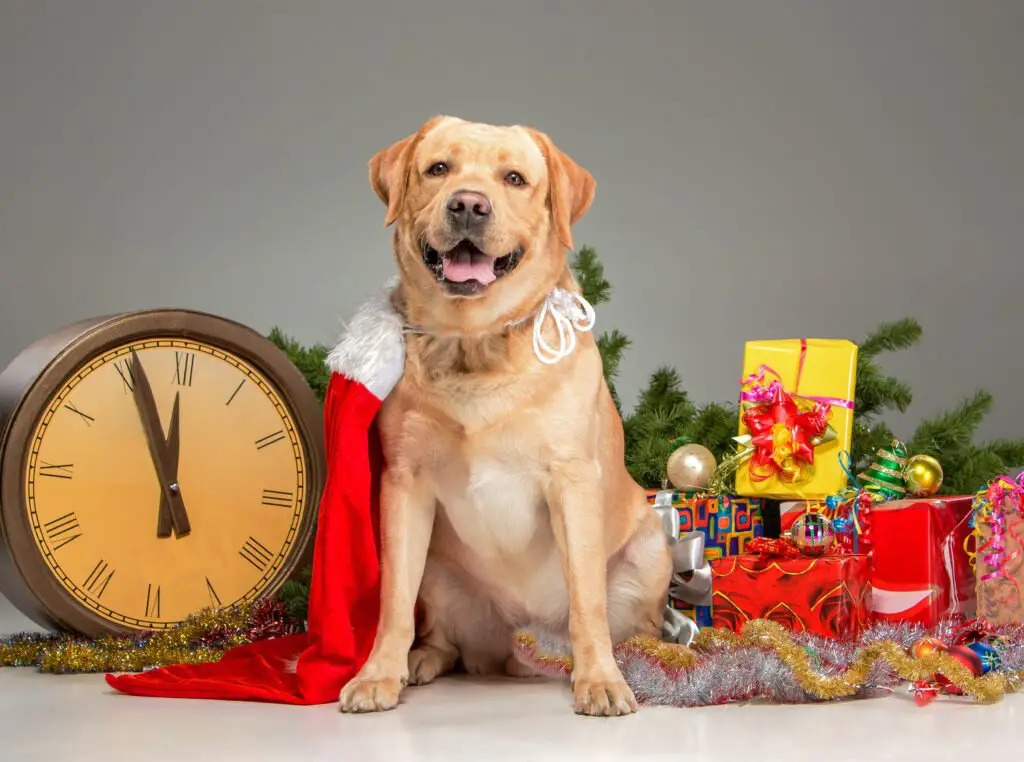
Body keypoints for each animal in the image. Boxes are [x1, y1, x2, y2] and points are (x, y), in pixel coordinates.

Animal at [337, 116, 671, 716]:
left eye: (514, 178)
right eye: (438, 169)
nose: (469, 205)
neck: (474, 343)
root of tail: (523, 643)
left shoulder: (571, 480)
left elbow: (587, 602)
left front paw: (601, 680)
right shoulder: (403, 483)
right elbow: (393, 602)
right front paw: (377, 674)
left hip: (652, 543)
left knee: (630, 625)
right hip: (440, 568)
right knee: (444, 635)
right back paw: (421, 660)